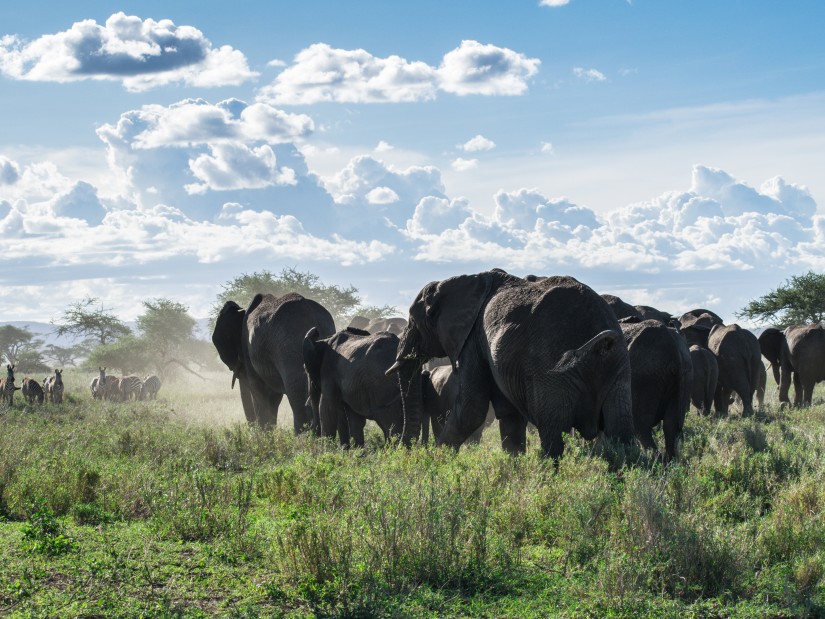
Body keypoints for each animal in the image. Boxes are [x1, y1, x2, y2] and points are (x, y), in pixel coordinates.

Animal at [212, 294, 334, 432]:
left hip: (289, 349)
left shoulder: (248, 350)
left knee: (297, 395)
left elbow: (259, 391)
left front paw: (265, 435)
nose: (251, 430)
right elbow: (273, 398)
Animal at [384, 270, 632, 460]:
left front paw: (436, 463)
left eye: (412, 320)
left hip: (551, 373)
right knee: (622, 437)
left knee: (553, 436)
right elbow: (509, 415)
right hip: (617, 370)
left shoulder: (472, 340)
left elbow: (471, 410)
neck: (468, 281)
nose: (399, 450)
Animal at [620, 320, 692, 460]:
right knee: (670, 426)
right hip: (684, 374)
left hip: (644, 376)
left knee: (641, 426)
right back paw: (670, 462)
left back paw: (653, 460)